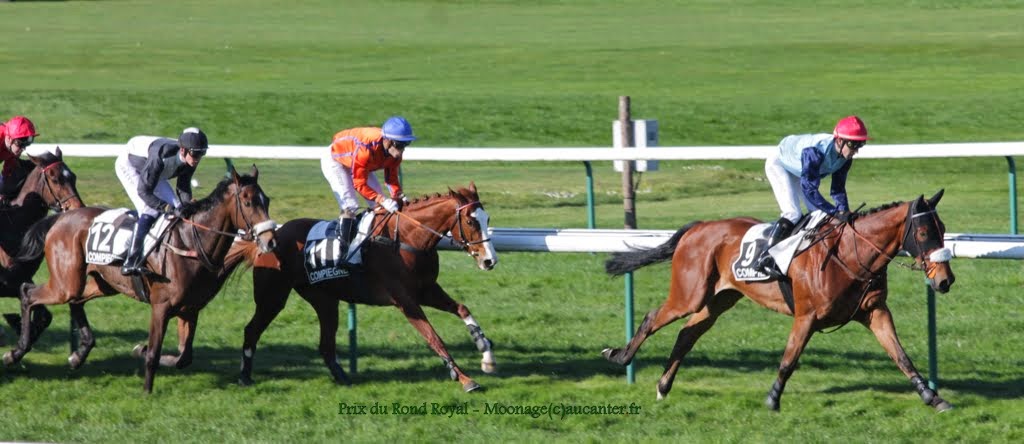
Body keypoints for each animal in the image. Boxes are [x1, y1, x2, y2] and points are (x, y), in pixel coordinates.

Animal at [0, 149, 83, 347]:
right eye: (55, 179)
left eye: (73, 176)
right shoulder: (9, 280)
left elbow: (44, 315)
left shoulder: (23, 276)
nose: (77, 207)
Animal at [3, 165, 276, 392]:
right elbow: (155, 351)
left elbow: (184, 358)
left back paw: (77, 355)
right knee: (28, 292)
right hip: (65, 283)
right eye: (248, 201)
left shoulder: (191, 309)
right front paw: (147, 389)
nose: (270, 240)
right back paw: (16, 352)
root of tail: (59, 218)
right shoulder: (161, 306)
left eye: (267, 200)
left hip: (101, 283)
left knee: (75, 301)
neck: (190, 243)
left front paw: (139, 351)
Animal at [233, 183, 503, 392]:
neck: (407, 239)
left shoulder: (426, 290)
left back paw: (343, 377)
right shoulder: (405, 300)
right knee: (251, 330)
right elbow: (434, 338)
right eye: (470, 221)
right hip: (273, 297)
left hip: (324, 299)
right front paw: (465, 379)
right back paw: (244, 376)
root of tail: (268, 239)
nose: (489, 260)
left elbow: (462, 309)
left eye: (488, 219)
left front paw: (486, 354)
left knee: (325, 344)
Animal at [602, 190, 954, 413]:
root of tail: (698, 227)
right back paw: (619, 356)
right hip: (689, 295)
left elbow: (901, 356)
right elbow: (789, 359)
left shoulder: (875, 312)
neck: (851, 254)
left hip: (719, 299)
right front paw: (773, 399)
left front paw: (933, 397)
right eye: (924, 233)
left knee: (687, 334)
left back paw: (663, 385)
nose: (945, 280)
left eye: (943, 228)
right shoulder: (806, 316)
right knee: (653, 317)